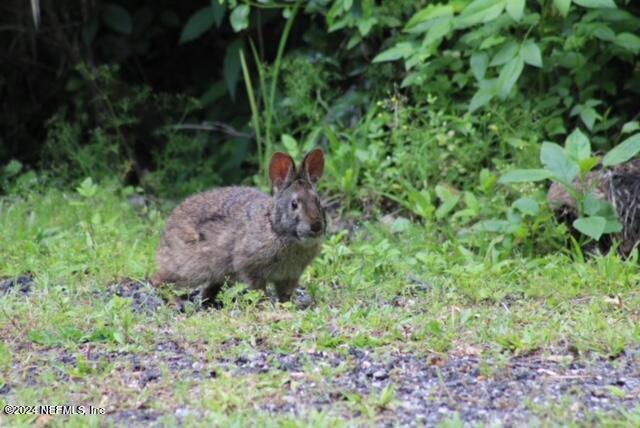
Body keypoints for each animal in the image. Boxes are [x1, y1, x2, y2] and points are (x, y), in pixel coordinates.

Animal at [151, 148, 326, 305]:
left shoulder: (289, 276)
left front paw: (286, 305)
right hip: (189, 269)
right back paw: (177, 302)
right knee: (158, 280)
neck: (275, 228)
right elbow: (258, 289)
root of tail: (166, 234)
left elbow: (285, 294)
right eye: (294, 204)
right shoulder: (249, 267)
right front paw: (264, 305)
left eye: (317, 201)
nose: (316, 226)